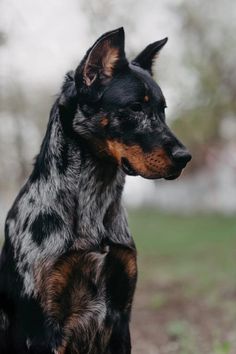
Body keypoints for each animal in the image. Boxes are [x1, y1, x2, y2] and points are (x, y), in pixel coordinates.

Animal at [0, 28, 192, 354]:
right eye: (135, 107)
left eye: (162, 110)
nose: (184, 157)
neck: (93, 202)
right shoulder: (41, 329)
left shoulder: (120, 316)